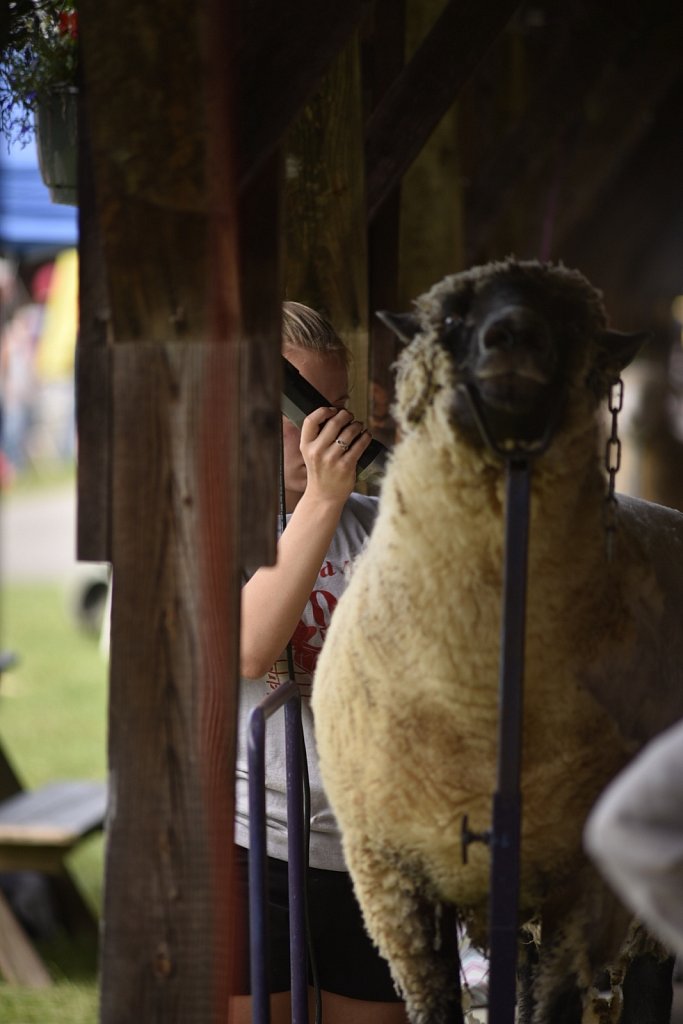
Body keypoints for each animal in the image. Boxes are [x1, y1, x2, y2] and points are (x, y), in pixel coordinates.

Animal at [313, 260, 683, 1024]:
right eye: (450, 319)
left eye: (572, 323)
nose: (512, 336)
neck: (476, 693)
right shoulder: (394, 882)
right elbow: (438, 1007)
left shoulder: (583, 886)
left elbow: (553, 1010)